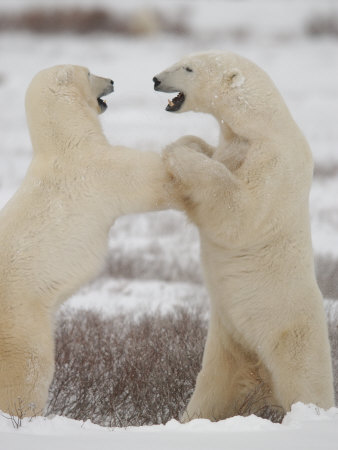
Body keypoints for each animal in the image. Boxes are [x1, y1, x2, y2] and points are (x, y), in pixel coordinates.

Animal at [0, 64, 180, 418]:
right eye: (88, 72)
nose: (111, 80)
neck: (65, 141)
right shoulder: (99, 170)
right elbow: (150, 180)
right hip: (20, 316)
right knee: (28, 367)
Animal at [154, 51, 336, 422]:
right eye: (180, 60)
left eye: (188, 68)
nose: (155, 79)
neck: (261, 124)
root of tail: (262, 378)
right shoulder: (232, 144)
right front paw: (188, 144)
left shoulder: (273, 161)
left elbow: (239, 208)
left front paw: (177, 153)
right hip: (228, 343)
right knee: (211, 389)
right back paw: (188, 419)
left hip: (293, 335)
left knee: (306, 382)